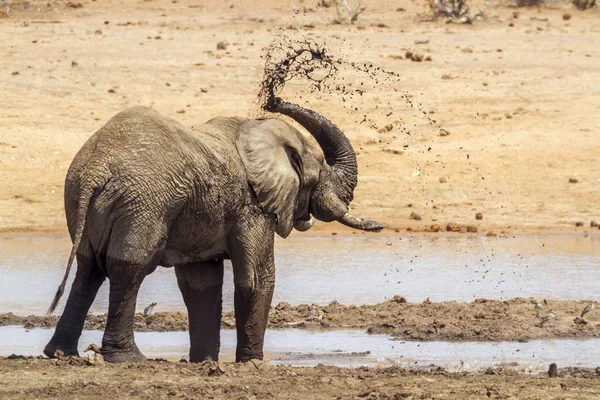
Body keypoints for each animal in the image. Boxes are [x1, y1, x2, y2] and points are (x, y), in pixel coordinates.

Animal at [45, 95, 384, 364]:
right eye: (317, 173)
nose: (272, 98)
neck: (258, 131)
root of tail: (96, 167)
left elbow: (201, 284)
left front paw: (204, 362)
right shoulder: (251, 206)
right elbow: (256, 277)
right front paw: (252, 363)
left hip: (79, 195)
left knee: (88, 267)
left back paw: (61, 353)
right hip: (143, 204)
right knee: (129, 266)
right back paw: (129, 359)